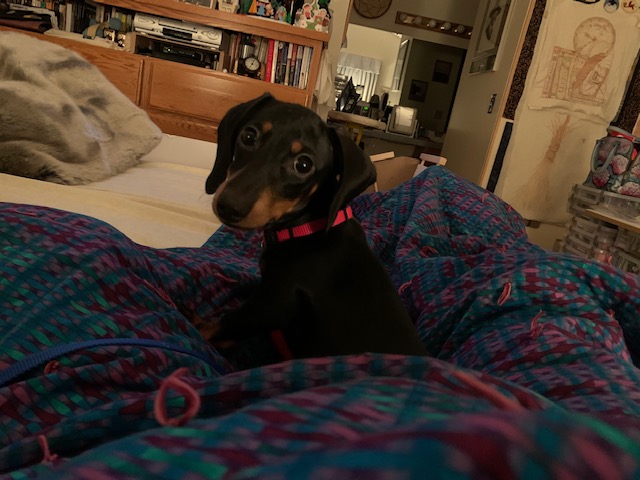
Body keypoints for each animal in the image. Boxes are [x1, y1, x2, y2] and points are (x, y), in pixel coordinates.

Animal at [205, 93, 427, 365]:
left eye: (303, 165)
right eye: (248, 136)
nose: (228, 207)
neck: (308, 229)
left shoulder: (269, 306)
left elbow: (211, 326)